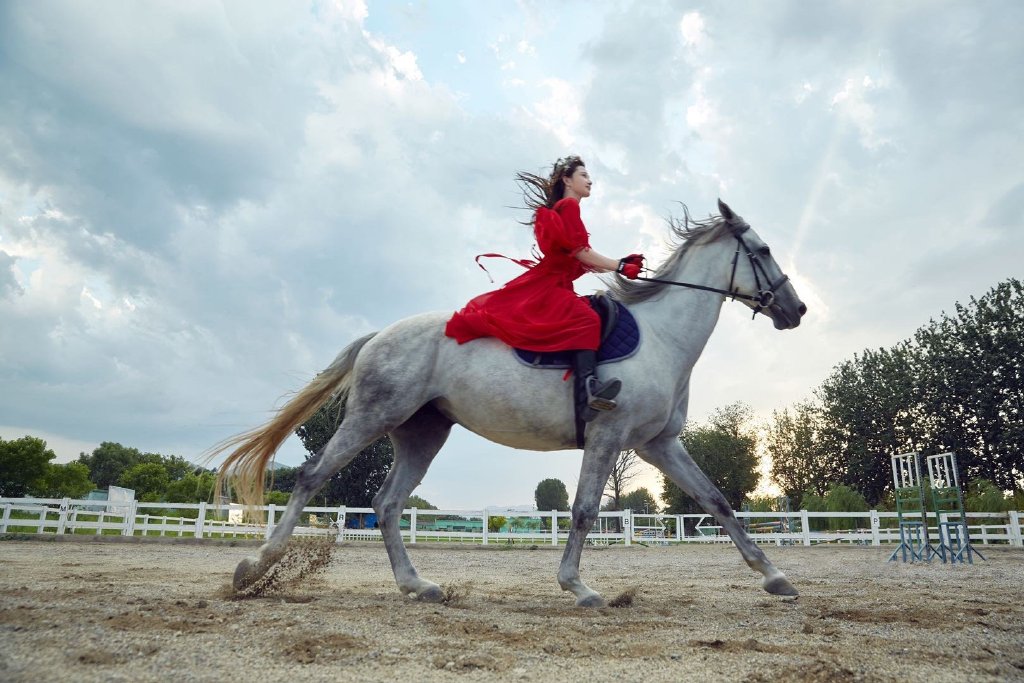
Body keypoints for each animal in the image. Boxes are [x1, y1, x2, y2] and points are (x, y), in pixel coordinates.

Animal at [216, 200, 806, 606]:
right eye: (764, 250)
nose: (796, 310)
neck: (663, 337)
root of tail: (381, 334)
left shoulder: (659, 443)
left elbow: (717, 501)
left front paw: (775, 576)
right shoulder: (609, 436)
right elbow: (585, 510)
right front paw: (578, 586)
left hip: (422, 433)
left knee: (386, 503)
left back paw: (417, 585)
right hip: (372, 417)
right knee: (314, 476)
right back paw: (256, 566)